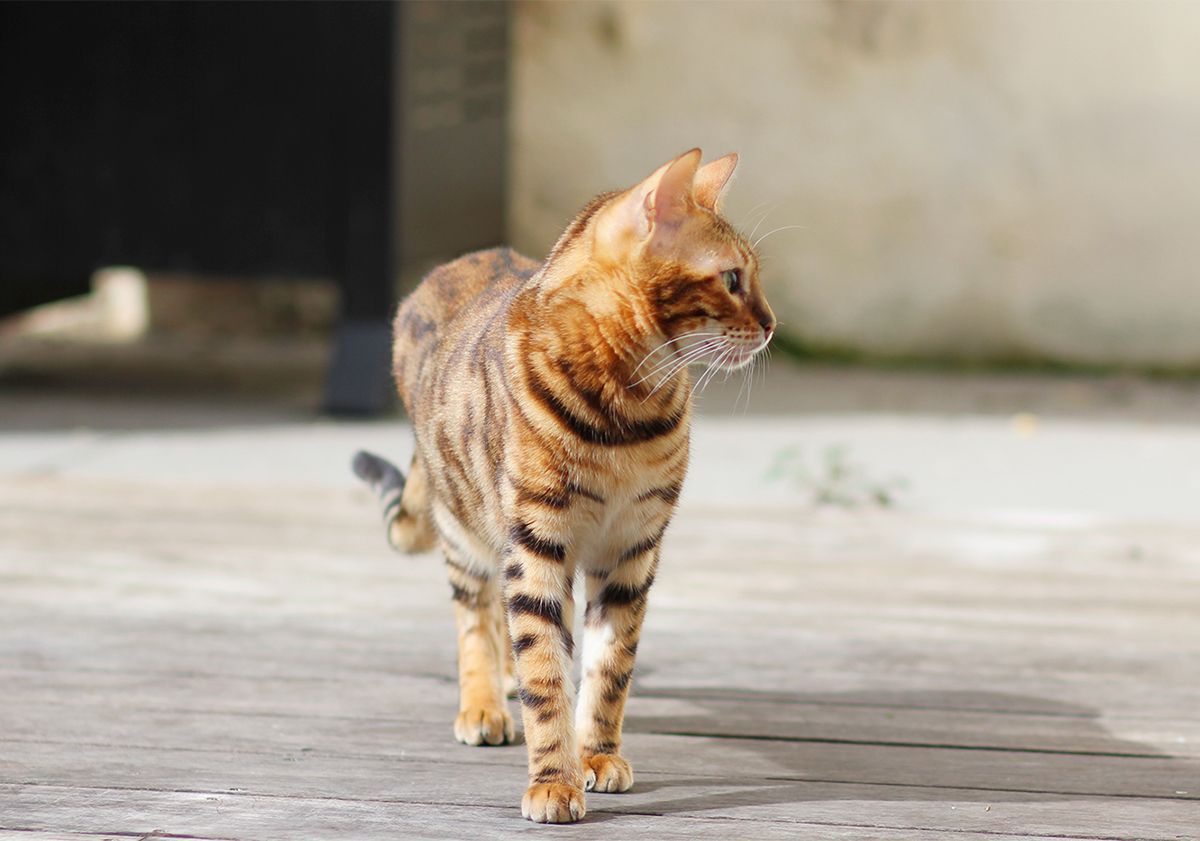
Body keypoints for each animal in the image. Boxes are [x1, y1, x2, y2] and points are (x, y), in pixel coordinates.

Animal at [350, 147, 772, 825]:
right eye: (732, 279)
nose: (772, 323)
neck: (628, 411)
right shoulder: (537, 540)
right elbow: (546, 669)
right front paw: (553, 781)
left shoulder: (631, 549)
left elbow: (608, 667)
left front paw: (595, 754)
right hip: (468, 527)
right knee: (477, 618)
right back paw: (483, 704)